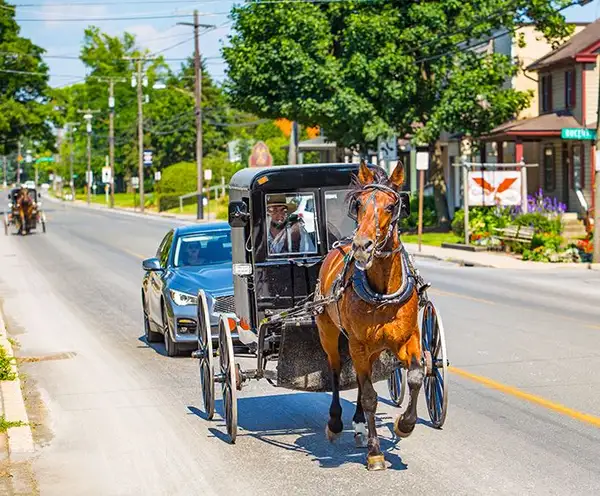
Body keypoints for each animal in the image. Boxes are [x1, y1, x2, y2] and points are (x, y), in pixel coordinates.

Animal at [314, 161, 422, 470]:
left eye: (391, 206)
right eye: (359, 204)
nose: (362, 246)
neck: (383, 290)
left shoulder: (408, 338)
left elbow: (416, 376)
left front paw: (405, 424)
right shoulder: (358, 344)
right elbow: (371, 396)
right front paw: (375, 452)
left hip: (370, 349)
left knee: (364, 380)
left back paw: (360, 424)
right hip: (330, 333)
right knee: (337, 371)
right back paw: (336, 423)